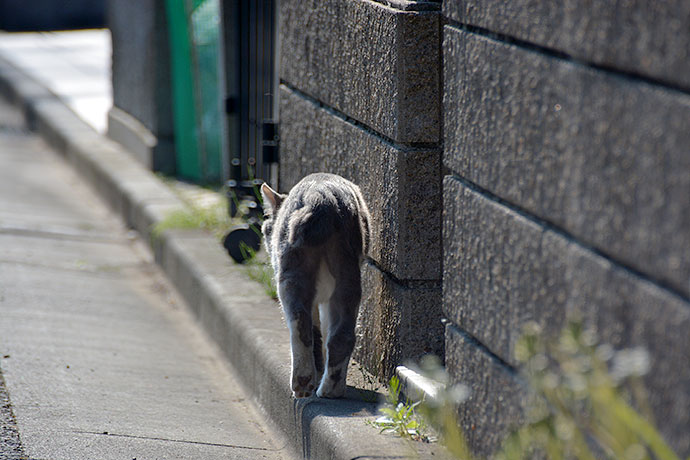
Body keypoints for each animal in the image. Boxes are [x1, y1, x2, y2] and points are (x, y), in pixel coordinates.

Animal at [258, 173, 368, 398]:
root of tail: (323, 198)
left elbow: (317, 332)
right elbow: (324, 333)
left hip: (290, 273)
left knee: (301, 324)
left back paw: (302, 383)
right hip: (348, 275)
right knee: (342, 335)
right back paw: (330, 390)